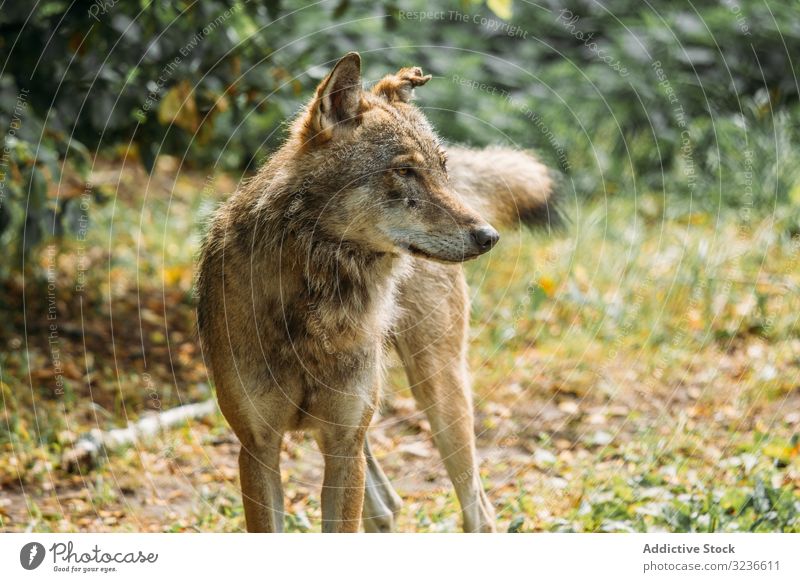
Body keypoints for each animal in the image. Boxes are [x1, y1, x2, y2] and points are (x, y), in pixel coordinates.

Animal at [197, 51, 552, 532]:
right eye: (404, 171)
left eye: (441, 169)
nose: (488, 236)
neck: (319, 299)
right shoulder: (258, 448)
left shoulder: (345, 443)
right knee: (388, 504)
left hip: (437, 388)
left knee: (477, 508)